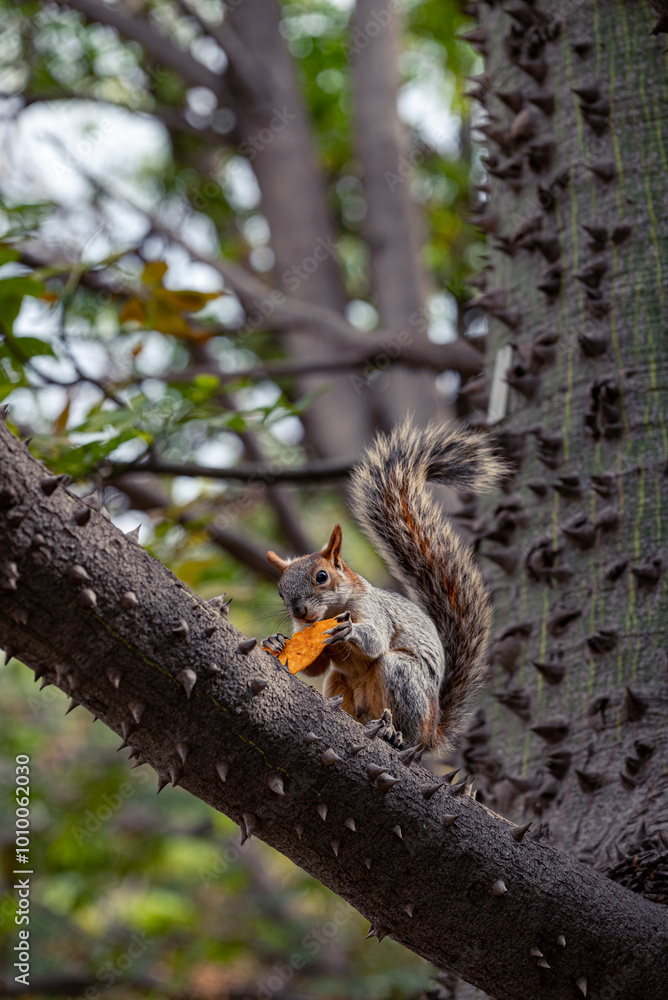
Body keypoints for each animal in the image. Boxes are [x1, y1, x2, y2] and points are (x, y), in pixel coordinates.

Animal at [262, 418, 505, 753]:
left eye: (322, 576)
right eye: (280, 590)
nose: (299, 612)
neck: (332, 610)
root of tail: (433, 732)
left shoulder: (374, 610)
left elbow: (376, 640)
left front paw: (349, 629)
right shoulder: (308, 636)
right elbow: (313, 666)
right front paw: (275, 641)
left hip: (404, 675)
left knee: (405, 722)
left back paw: (395, 735)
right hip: (340, 684)